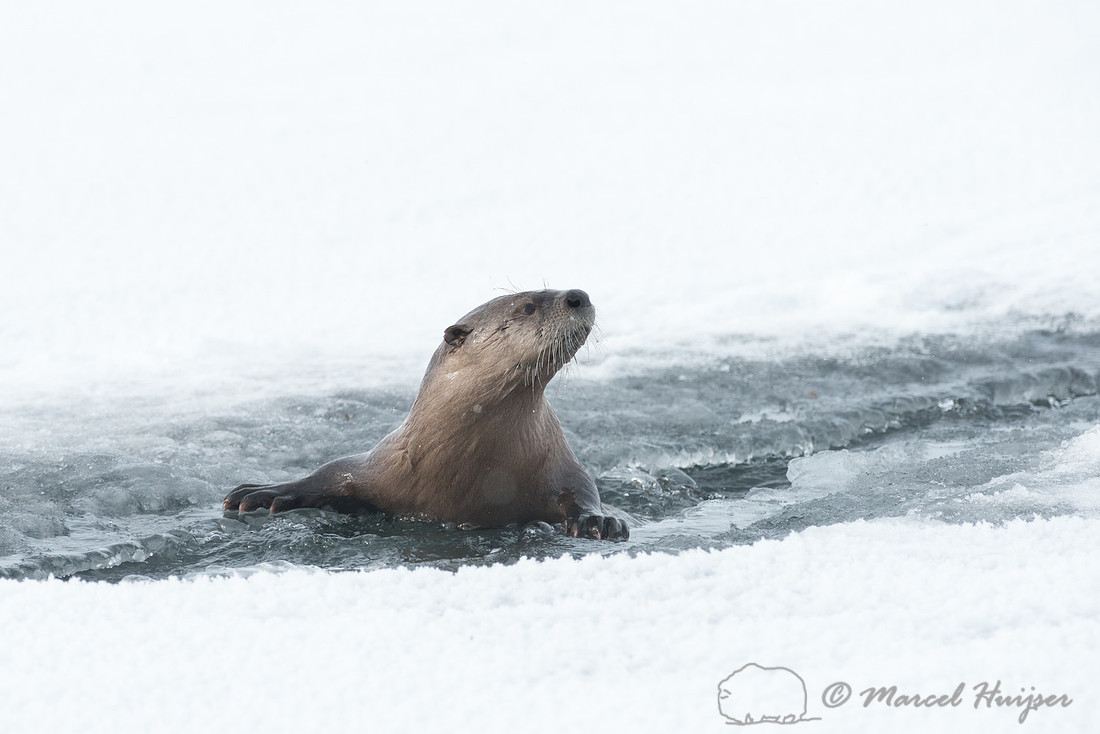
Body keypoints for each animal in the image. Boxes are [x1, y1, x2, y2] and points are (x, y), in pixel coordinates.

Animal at [223, 288, 628, 540]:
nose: (579, 295)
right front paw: (260, 492)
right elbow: (330, 471)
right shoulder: (384, 460)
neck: (477, 468)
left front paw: (600, 520)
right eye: (528, 306)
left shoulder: (556, 460)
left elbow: (582, 487)